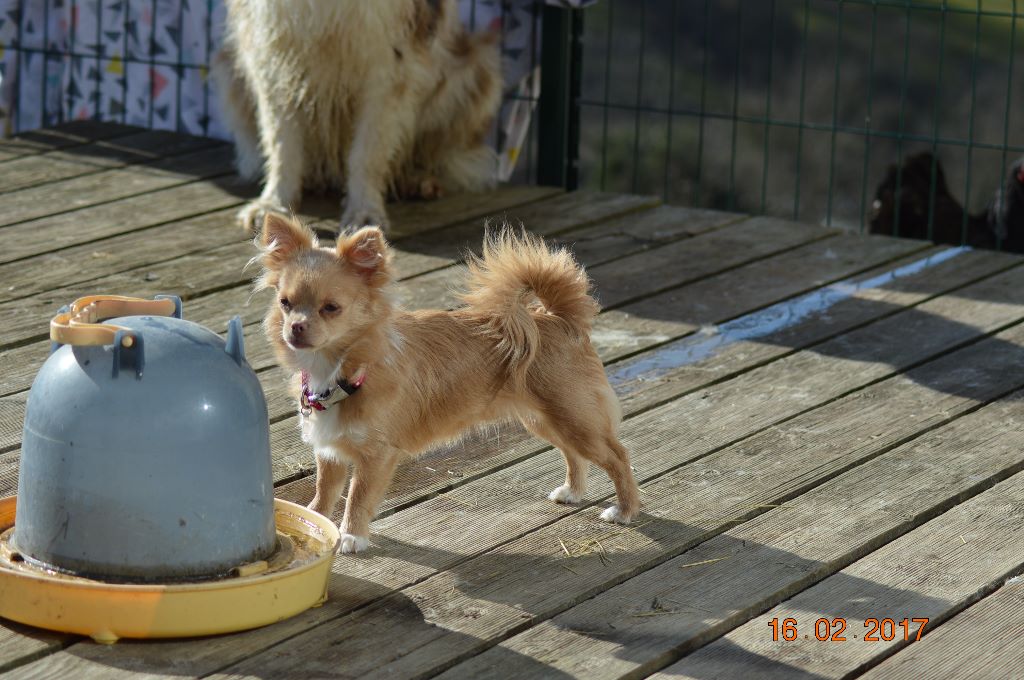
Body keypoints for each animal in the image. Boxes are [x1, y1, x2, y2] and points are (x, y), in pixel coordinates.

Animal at [214, 0, 501, 232]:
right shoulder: (273, 55)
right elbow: (281, 145)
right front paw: (274, 204)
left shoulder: (389, 64)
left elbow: (368, 153)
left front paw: (364, 212)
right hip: (228, 69)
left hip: (475, 68)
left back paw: (417, 179)